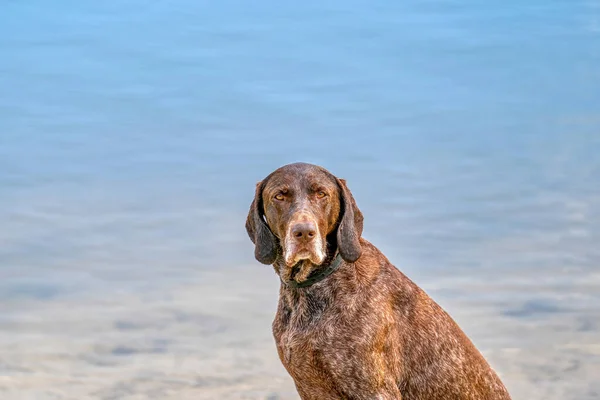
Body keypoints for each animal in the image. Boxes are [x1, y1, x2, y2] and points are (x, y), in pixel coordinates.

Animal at [245, 162, 510, 400]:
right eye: (280, 196)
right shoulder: (310, 388)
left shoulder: (375, 389)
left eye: (321, 194)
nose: (303, 232)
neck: (311, 289)